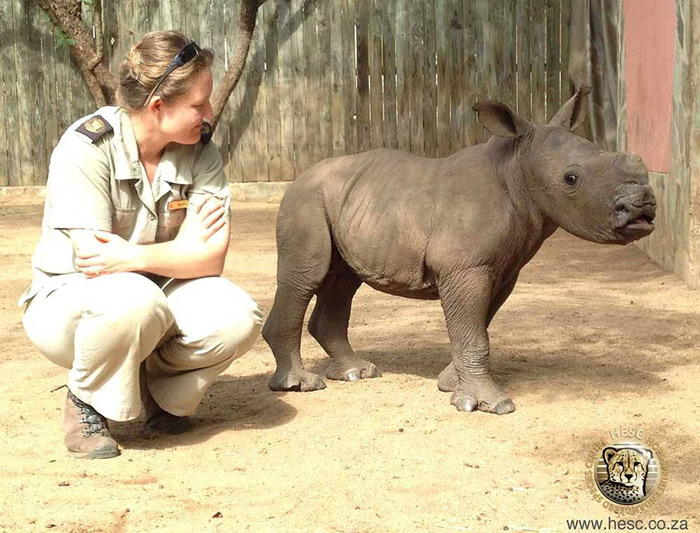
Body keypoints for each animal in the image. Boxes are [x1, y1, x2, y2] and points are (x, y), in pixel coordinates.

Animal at [262, 87, 656, 414]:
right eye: (570, 179)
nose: (643, 206)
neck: (517, 168)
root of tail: (298, 177)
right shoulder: (465, 268)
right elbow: (474, 332)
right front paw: (490, 405)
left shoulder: (500, 268)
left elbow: (479, 326)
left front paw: (452, 384)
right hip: (305, 200)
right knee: (307, 276)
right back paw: (302, 385)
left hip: (349, 203)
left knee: (343, 280)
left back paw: (357, 373)